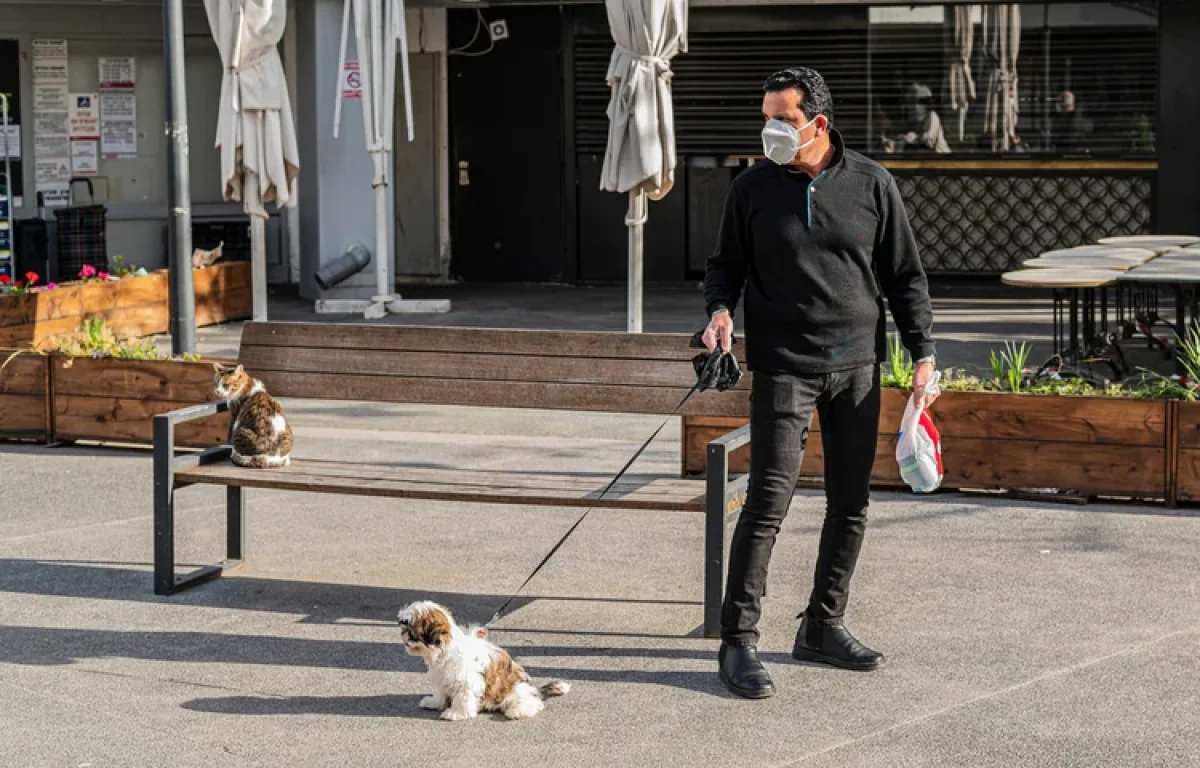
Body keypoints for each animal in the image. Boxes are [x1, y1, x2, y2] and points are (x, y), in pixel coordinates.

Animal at [398, 600, 571, 720]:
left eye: (412, 630)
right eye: (404, 627)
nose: (404, 635)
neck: (446, 650)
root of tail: (534, 689)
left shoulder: (467, 680)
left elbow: (464, 696)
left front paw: (457, 713)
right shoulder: (441, 676)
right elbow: (440, 691)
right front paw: (434, 702)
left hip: (514, 690)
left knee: (532, 703)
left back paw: (518, 711)